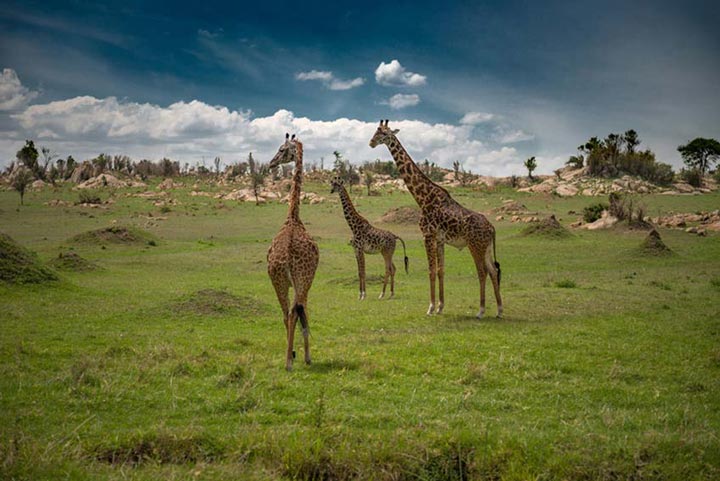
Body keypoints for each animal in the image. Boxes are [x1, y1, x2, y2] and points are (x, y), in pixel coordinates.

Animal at [369, 120, 503, 318]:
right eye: (376, 131)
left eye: (384, 133)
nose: (371, 143)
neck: (423, 198)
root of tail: (492, 228)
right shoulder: (439, 240)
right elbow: (440, 270)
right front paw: (440, 306)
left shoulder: (428, 236)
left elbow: (431, 270)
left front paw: (430, 307)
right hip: (485, 247)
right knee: (493, 271)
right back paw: (499, 310)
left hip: (475, 245)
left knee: (482, 271)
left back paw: (481, 310)